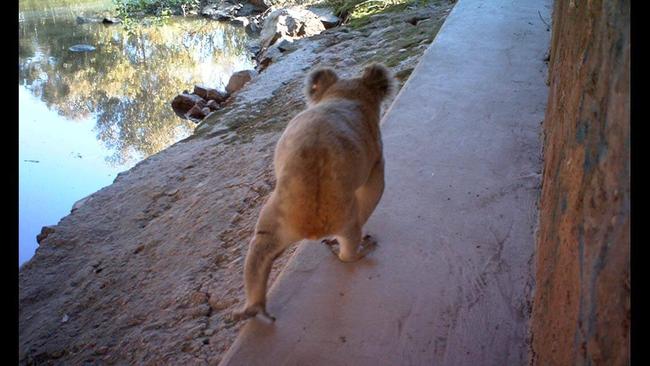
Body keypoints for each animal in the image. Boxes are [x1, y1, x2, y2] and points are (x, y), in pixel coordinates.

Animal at [233, 64, 394, 322]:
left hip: (272, 222)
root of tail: (310, 226)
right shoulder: (376, 157)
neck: (343, 94)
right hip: (345, 219)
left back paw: (254, 308)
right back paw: (358, 249)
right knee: (349, 247)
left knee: (258, 255)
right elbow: (373, 191)